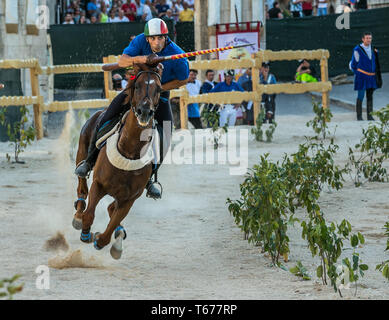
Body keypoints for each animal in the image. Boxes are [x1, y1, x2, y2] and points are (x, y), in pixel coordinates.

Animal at [71, 63, 162, 260]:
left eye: (159, 89)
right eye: (137, 86)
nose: (145, 111)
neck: (129, 152)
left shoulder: (129, 198)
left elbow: (113, 222)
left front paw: (104, 240)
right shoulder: (98, 184)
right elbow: (90, 214)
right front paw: (86, 233)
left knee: (112, 209)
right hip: (81, 151)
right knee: (82, 187)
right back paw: (78, 214)